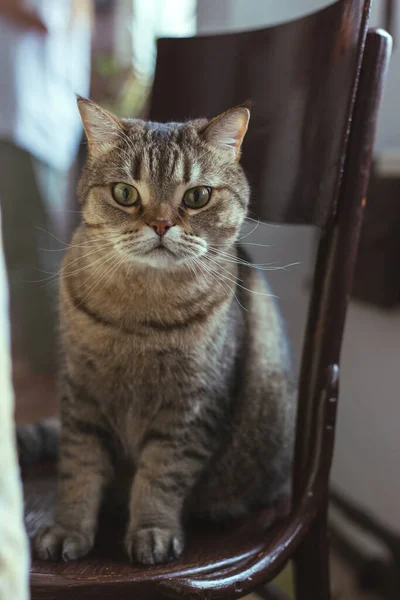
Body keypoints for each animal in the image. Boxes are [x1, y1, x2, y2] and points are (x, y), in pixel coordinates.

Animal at [25, 97, 296, 564]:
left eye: (197, 196)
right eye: (125, 193)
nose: (161, 224)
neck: (140, 318)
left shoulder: (191, 408)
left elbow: (160, 478)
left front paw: (152, 530)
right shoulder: (81, 397)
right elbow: (78, 470)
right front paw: (69, 528)